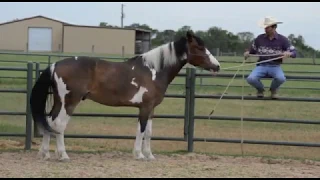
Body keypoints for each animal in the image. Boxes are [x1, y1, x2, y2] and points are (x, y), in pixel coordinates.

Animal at [30, 30, 220, 161]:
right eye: (199, 47)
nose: (217, 66)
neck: (154, 70)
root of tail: (55, 64)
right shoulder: (144, 107)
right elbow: (141, 130)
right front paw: (139, 155)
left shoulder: (151, 108)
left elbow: (149, 132)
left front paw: (149, 155)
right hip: (69, 102)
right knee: (59, 124)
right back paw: (63, 155)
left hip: (59, 101)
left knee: (50, 121)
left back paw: (45, 153)